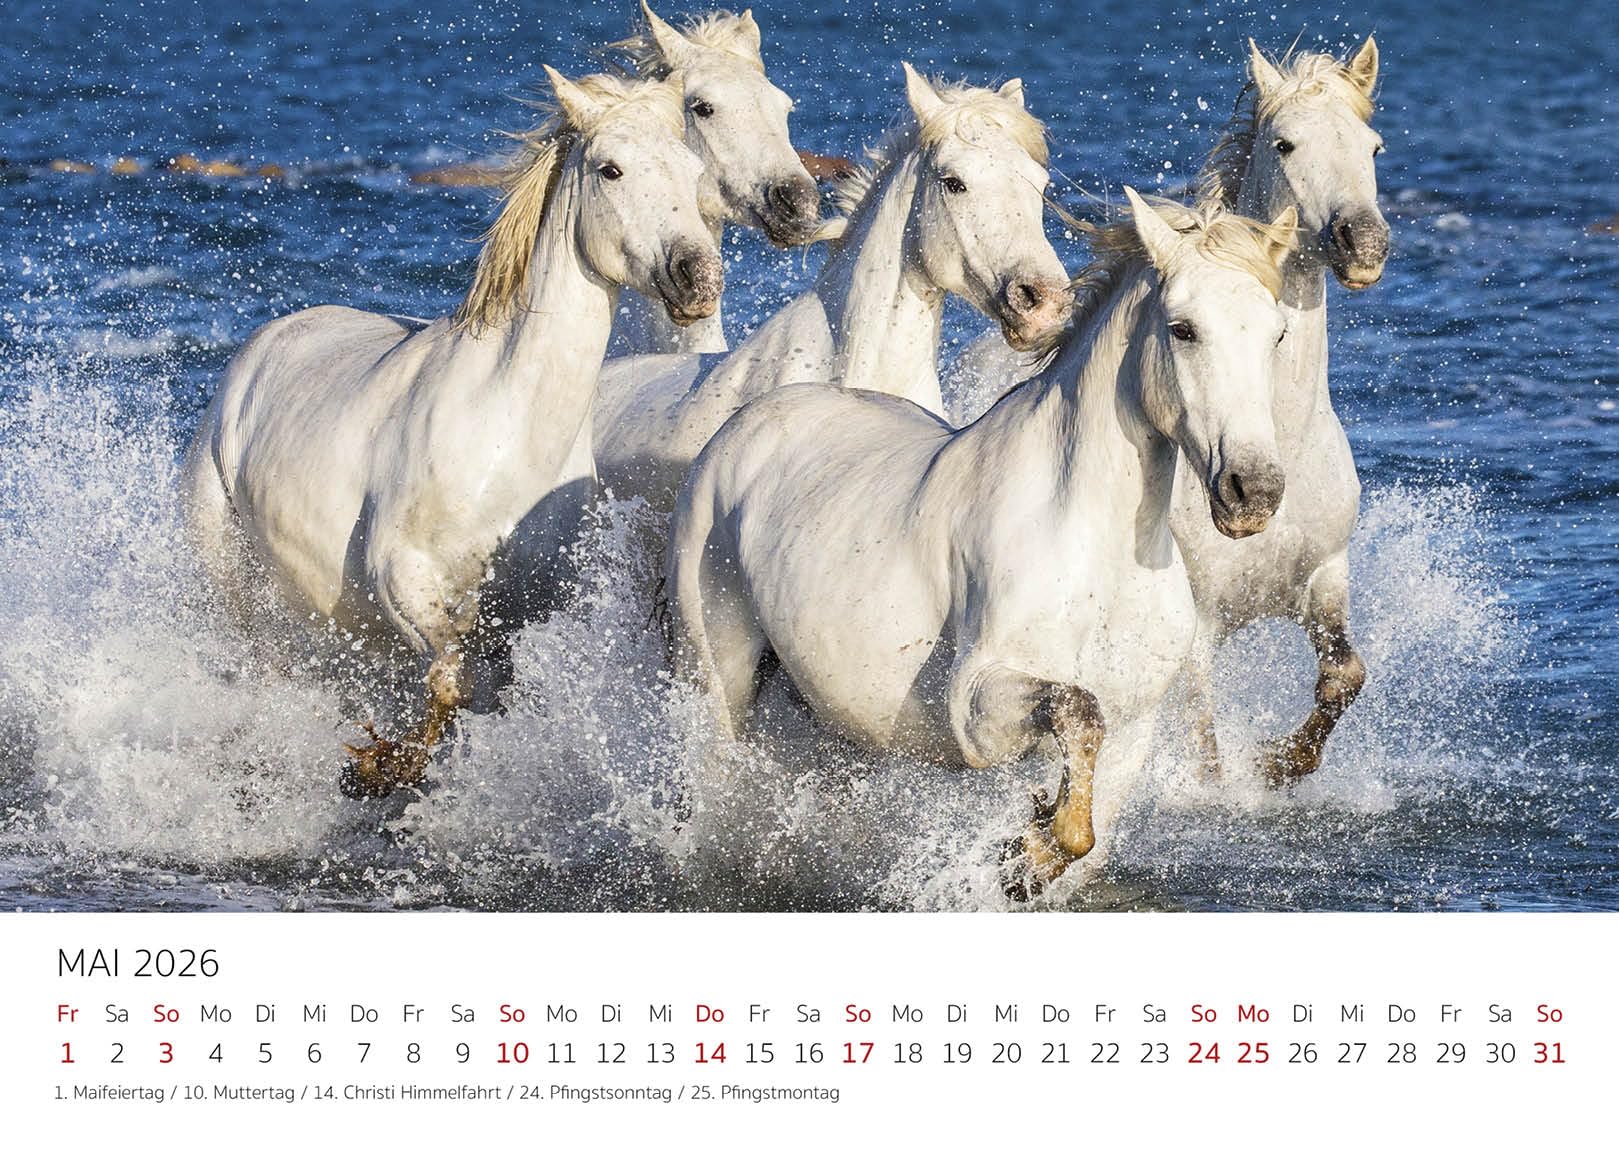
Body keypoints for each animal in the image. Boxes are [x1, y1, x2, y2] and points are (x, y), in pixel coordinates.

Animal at [180, 70, 723, 799]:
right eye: (610, 169)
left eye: (694, 170)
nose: (700, 278)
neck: (502, 434)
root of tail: (259, 348)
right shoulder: (400, 575)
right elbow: (448, 679)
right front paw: (381, 768)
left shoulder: (527, 611)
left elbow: (483, 694)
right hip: (233, 584)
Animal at [665, 190, 1297, 895]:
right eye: (1183, 329)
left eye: (1276, 333)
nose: (1253, 492)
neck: (1096, 552)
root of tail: (737, 431)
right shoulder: (977, 705)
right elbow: (1078, 712)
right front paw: (1029, 846)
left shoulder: (1135, 731)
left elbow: (1088, 819)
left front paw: (1029, 846)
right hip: (717, 676)